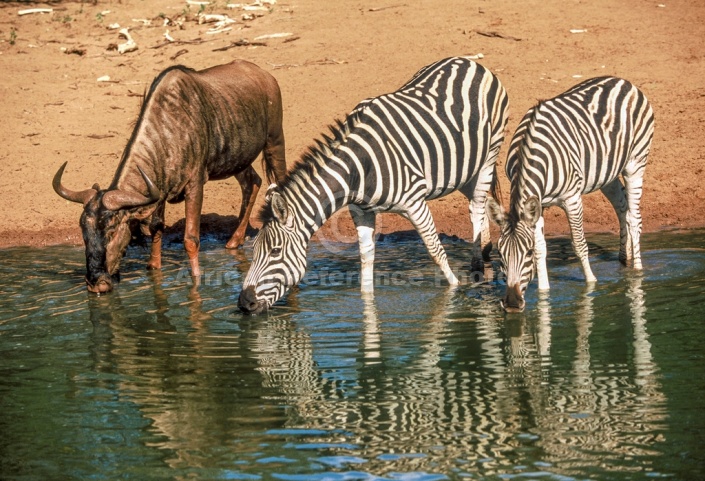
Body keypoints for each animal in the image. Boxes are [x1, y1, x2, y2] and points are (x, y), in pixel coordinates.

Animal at [236, 56, 506, 314]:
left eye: (275, 251)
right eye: (254, 250)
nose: (244, 303)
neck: (357, 170)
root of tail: (469, 62)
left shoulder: (415, 203)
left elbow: (435, 251)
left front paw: (454, 291)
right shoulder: (361, 212)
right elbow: (366, 259)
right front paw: (368, 303)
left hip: (488, 156)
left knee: (477, 206)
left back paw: (478, 267)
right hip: (462, 170)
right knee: (478, 202)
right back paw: (484, 251)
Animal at [484, 75, 656, 312]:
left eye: (526, 253)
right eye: (500, 254)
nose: (511, 304)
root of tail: (623, 81)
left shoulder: (572, 199)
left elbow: (579, 244)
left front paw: (591, 284)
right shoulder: (539, 203)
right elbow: (542, 248)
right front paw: (544, 293)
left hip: (636, 162)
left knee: (635, 218)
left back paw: (637, 272)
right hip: (606, 174)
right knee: (622, 208)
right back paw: (623, 259)